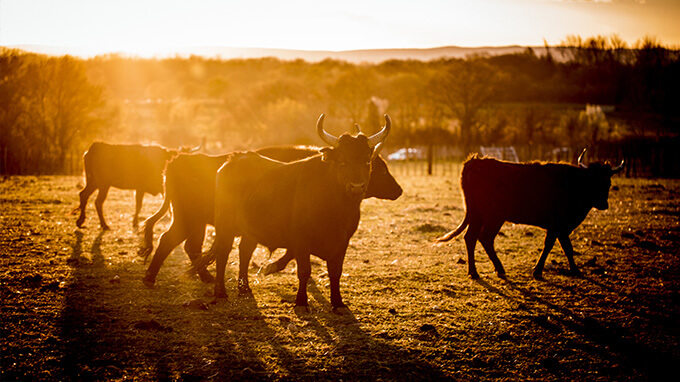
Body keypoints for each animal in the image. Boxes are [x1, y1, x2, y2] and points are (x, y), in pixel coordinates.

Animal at [438, 152, 624, 280]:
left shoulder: (562, 228)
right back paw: (499, 269)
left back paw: (474, 272)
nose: (603, 204)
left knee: (470, 238)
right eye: (592, 182)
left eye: (608, 183)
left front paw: (574, 269)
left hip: (477, 215)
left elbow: (567, 248)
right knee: (485, 238)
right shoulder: (557, 225)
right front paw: (539, 271)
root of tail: (476, 161)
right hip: (493, 217)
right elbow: (551, 245)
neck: (574, 185)